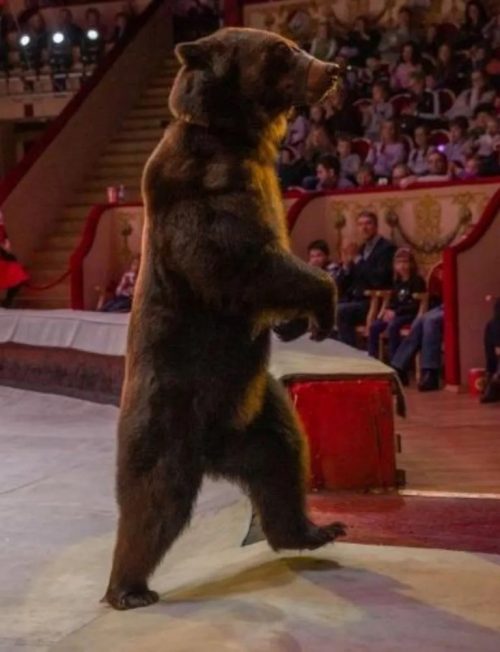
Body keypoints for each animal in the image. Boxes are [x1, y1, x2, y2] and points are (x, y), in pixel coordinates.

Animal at [103, 27, 345, 611]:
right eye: (281, 52)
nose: (331, 70)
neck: (239, 138)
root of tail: (214, 450)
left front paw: (297, 324)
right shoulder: (205, 188)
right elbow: (241, 262)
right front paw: (323, 303)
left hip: (257, 407)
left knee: (285, 457)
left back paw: (313, 529)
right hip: (166, 410)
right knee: (153, 500)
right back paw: (128, 588)